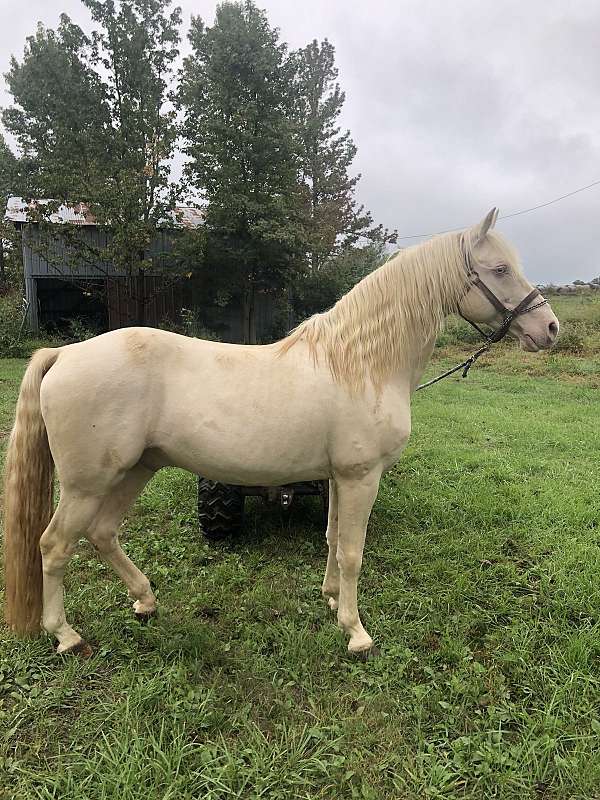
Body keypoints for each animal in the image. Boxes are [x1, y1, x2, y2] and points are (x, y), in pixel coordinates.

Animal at [3, 211, 556, 656]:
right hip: (86, 484)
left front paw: (331, 601)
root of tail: (66, 353)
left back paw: (145, 601)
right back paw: (66, 635)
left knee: (101, 533)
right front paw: (356, 632)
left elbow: (332, 538)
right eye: (499, 270)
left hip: (137, 468)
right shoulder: (361, 477)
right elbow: (353, 552)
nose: (549, 329)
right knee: (54, 545)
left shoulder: (338, 477)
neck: (361, 364)